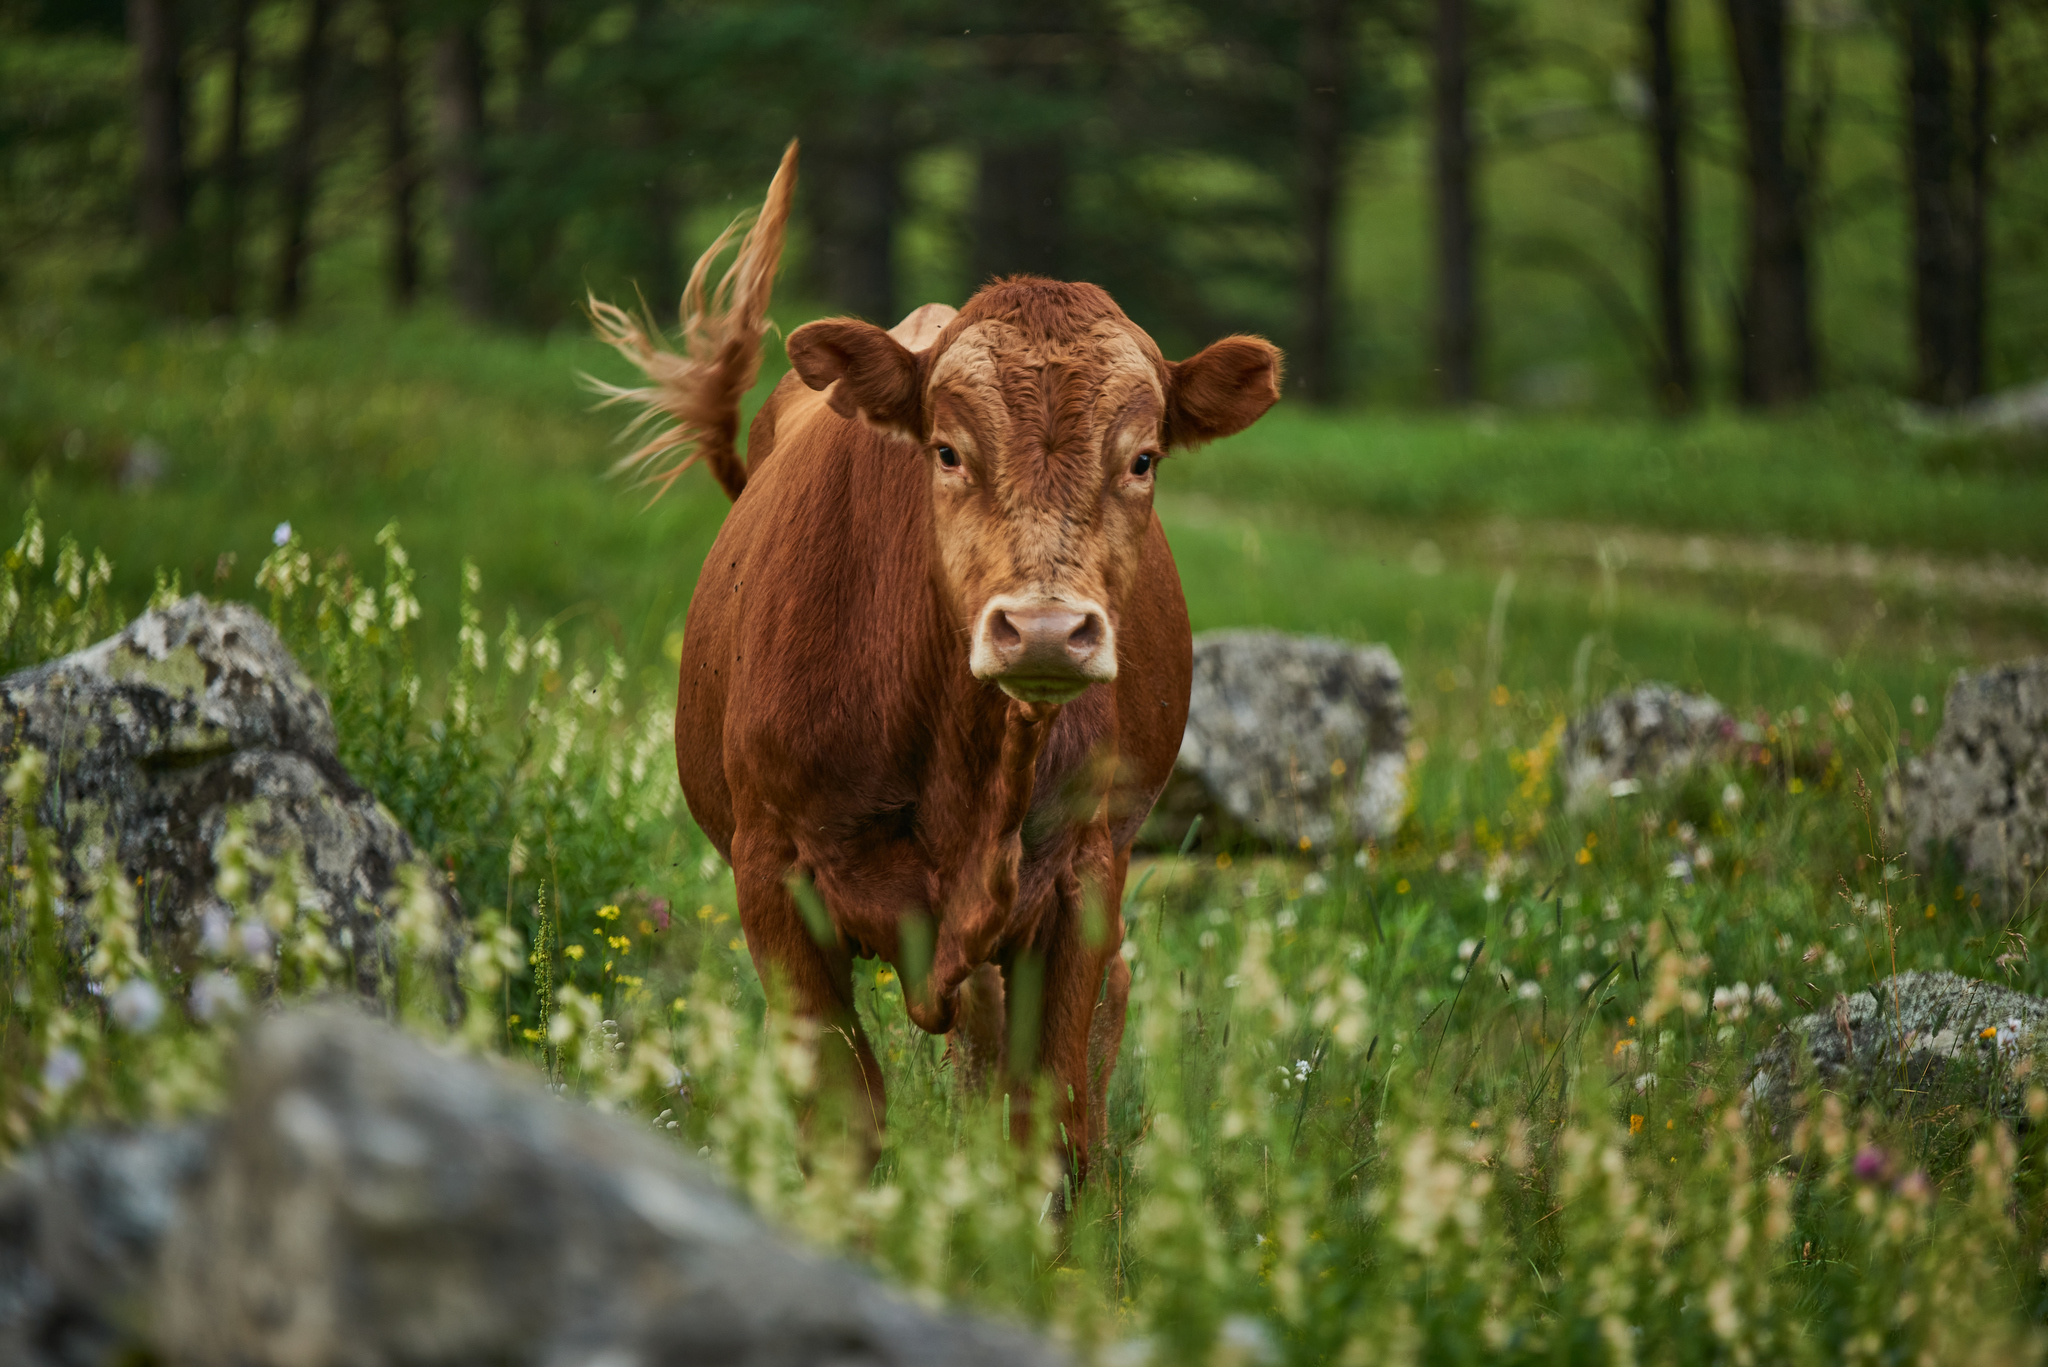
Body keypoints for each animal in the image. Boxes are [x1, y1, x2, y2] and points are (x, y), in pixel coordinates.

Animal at [589, 147, 1277, 1180]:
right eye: (947, 451)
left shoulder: (1083, 875)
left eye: (1144, 457)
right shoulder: (773, 875)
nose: (1043, 628)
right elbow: (844, 1119)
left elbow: (1052, 1118)